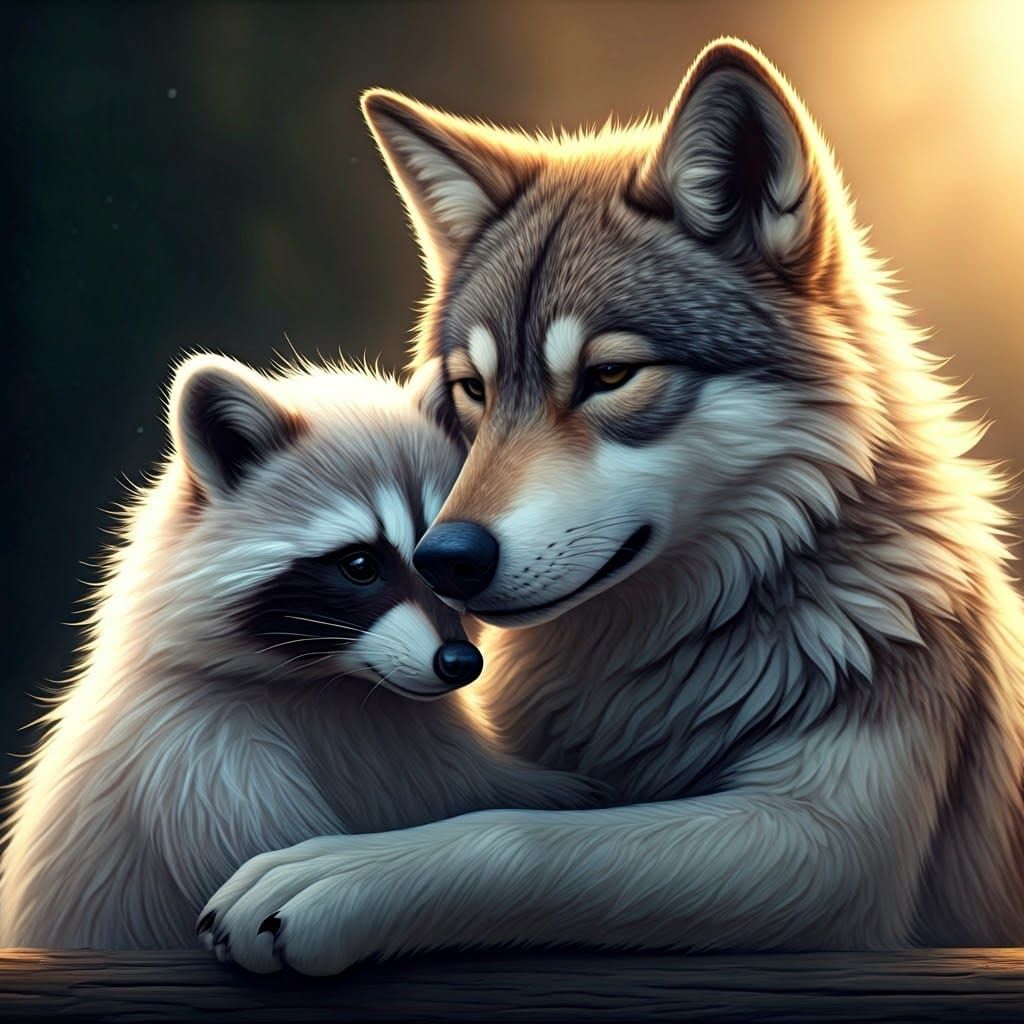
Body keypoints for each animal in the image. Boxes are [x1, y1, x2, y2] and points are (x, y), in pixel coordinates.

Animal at [0, 354, 596, 948]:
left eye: (448, 565)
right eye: (360, 566)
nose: (461, 664)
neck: (335, 686)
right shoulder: (197, 762)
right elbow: (256, 842)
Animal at [199, 38, 1024, 973]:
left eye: (608, 376)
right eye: (475, 388)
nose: (444, 560)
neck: (670, 657)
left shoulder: (835, 851)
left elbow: (520, 836)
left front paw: (334, 875)